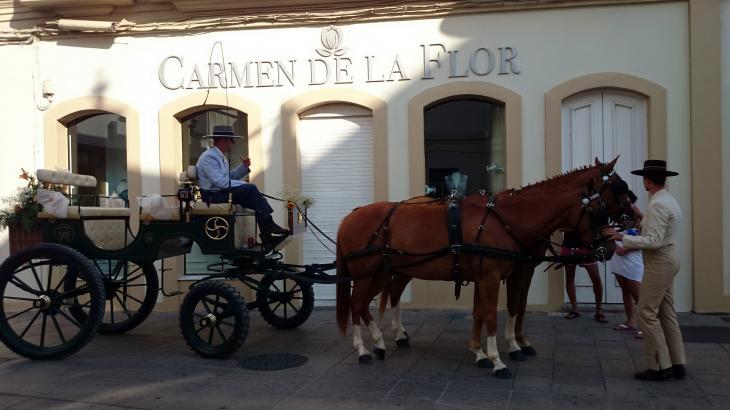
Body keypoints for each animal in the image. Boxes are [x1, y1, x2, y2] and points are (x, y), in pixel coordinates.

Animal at [336, 159, 624, 376]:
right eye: (599, 213)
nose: (610, 246)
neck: (506, 221)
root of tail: (350, 216)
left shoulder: (488, 276)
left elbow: (484, 313)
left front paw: (481, 352)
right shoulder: (492, 277)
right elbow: (494, 315)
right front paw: (499, 359)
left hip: (380, 273)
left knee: (369, 302)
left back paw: (382, 342)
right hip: (367, 273)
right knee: (357, 303)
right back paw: (364, 349)